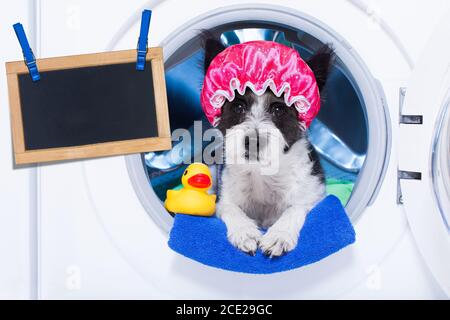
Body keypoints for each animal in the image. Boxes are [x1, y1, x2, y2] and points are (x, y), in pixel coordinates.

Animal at [202, 33, 332, 258]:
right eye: (238, 106)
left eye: (278, 109)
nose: (253, 141)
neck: (261, 173)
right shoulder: (224, 196)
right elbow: (230, 208)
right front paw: (245, 232)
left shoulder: (313, 195)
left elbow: (295, 208)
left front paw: (279, 235)